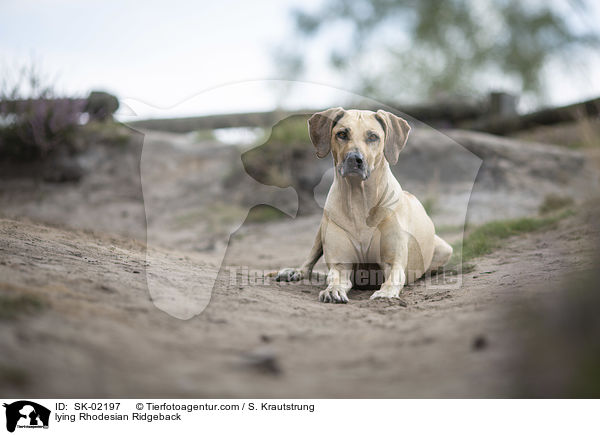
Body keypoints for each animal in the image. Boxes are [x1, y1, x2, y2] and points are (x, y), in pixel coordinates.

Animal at [276, 108, 450, 304]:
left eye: (373, 136)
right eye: (342, 134)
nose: (354, 159)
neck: (359, 200)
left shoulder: (393, 261)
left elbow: (394, 277)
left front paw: (385, 293)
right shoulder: (340, 263)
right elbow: (335, 277)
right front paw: (333, 290)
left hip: (444, 250)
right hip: (321, 231)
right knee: (310, 263)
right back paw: (295, 271)